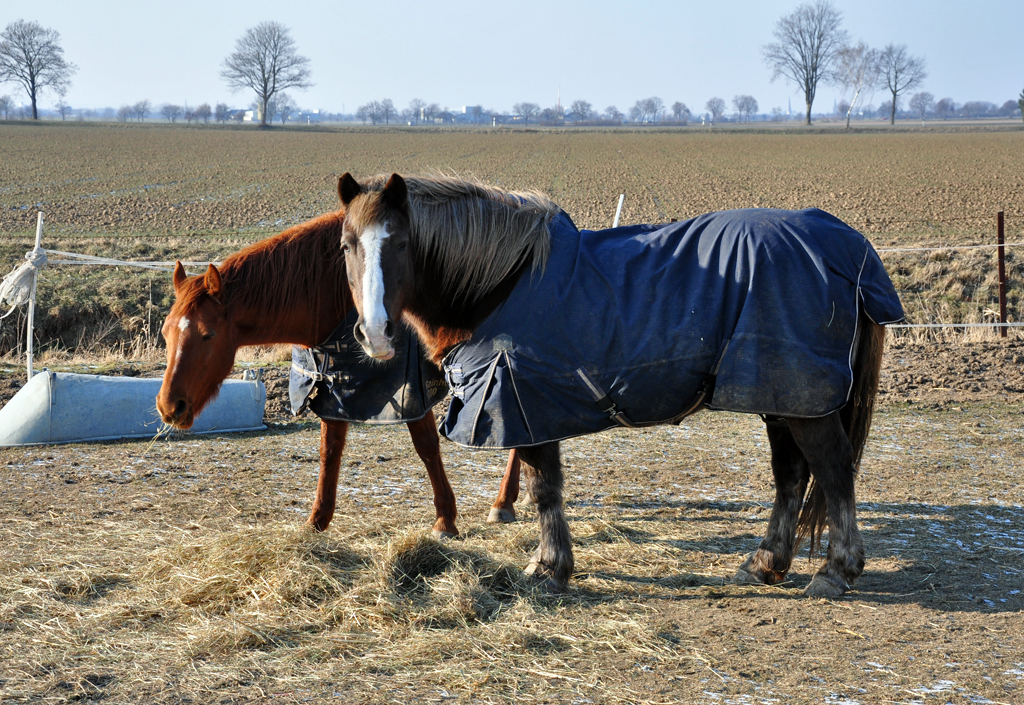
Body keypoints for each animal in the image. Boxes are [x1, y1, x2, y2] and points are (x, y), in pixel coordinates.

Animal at [155, 206, 524, 536]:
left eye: (208, 334)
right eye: (166, 332)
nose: (169, 405)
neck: (336, 292)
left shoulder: (411, 390)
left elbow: (427, 446)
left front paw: (445, 520)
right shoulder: (334, 389)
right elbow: (329, 452)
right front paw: (317, 521)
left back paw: (503, 502)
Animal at [337, 173, 905, 598]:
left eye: (403, 243)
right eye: (346, 245)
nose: (376, 332)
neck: (502, 283)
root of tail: (844, 242)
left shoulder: (526, 407)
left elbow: (545, 488)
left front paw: (551, 568)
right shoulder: (527, 411)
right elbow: (541, 483)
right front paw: (551, 563)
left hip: (804, 397)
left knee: (833, 470)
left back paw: (836, 571)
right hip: (777, 394)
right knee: (791, 474)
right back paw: (765, 563)